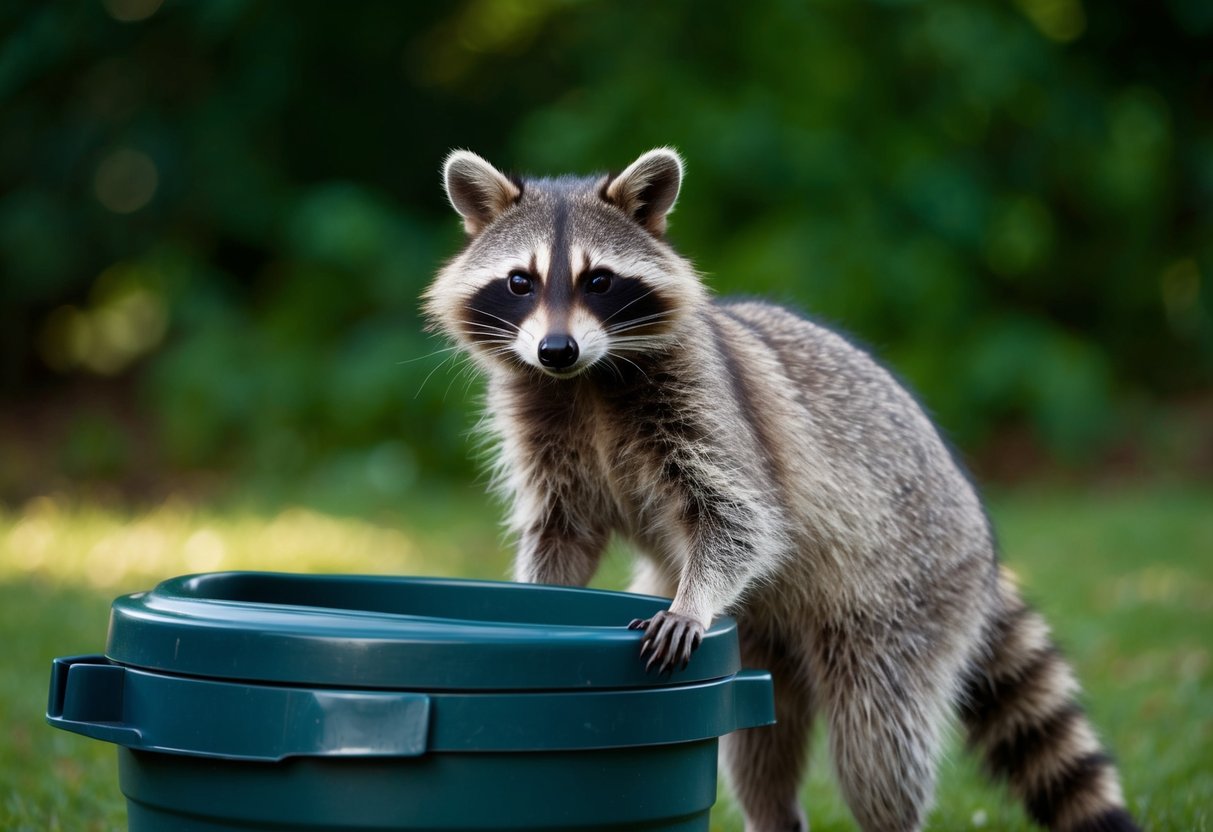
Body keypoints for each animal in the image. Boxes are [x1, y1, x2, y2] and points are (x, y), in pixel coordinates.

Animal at [423, 148, 1140, 832]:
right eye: (521, 281)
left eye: (597, 280)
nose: (556, 348)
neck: (586, 381)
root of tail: (981, 547)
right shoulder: (542, 426)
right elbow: (563, 533)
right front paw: (537, 602)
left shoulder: (709, 405)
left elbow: (742, 518)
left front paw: (693, 601)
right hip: (763, 639)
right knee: (759, 744)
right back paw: (771, 812)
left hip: (904, 593)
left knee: (875, 737)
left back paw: (887, 811)